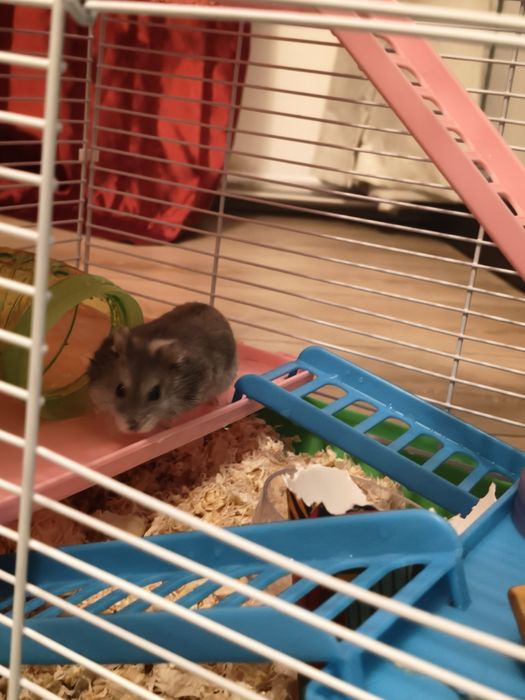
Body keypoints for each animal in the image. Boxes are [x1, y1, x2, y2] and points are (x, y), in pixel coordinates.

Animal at [87, 302, 237, 433]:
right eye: (119, 390)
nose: (133, 428)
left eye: (155, 394)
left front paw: (167, 425)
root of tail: (211, 307)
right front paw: (96, 412)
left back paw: (215, 402)